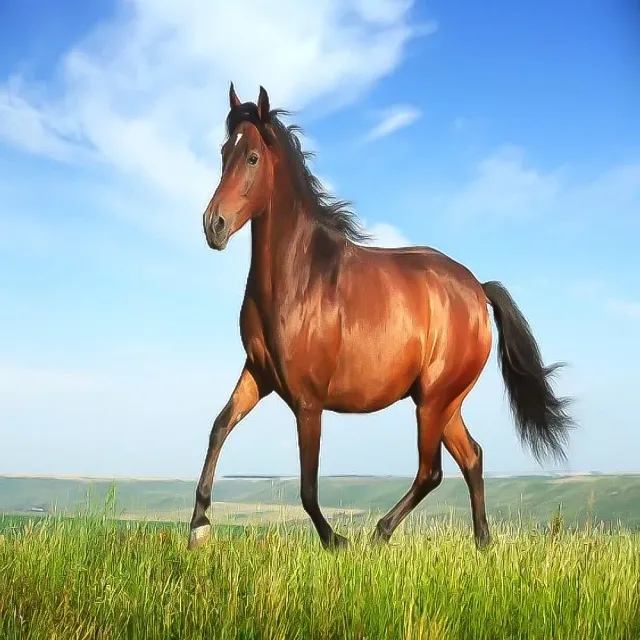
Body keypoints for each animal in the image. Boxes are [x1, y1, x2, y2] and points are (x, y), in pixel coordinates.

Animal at [187, 83, 576, 551]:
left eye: (252, 158)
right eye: (224, 151)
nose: (213, 225)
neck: (297, 277)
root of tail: (477, 290)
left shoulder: (308, 401)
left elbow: (308, 485)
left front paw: (335, 540)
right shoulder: (258, 375)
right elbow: (218, 427)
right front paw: (198, 527)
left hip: (433, 400)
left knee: (432, 471)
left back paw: (380, 533)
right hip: (444, 402)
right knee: (472, 457)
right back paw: (482, 543)